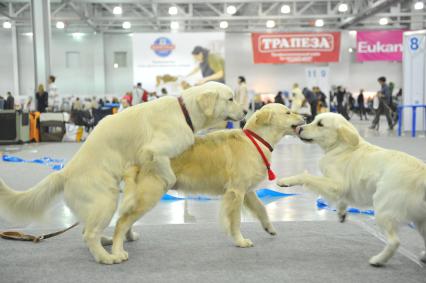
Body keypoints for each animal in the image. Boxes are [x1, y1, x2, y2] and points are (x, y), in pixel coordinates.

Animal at [0, 82, 245, 266]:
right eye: (230, 98)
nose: (244, 113)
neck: (184, 111)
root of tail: (65, 172)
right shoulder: (153, 151)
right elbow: (167, 172)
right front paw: (169, 181)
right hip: (105, 200)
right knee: (89, 234)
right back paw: (106, 257)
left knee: (88, 231)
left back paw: (107, 242)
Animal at [116, 104, 304, 251]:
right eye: (288, 112)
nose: (306, 117)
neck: (256, 140)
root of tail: (138, 158)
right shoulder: (236, 192)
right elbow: (235, 221)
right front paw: (240, 241)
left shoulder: (247, 190)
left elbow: (261, 209)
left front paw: (269, 228)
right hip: (151, 194)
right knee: (121, 222)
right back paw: (118, 251)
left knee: (125, 218)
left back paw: (130, 237)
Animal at [276, 113, 426, 268]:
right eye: (314, 120)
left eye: (320, 124)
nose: (299, 128)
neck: (341, 147)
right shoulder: (342, 188)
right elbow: (342, 200)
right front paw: (341, 213)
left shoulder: (337, 184)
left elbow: (306, 176)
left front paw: (285, 181)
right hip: (420, 221)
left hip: (383, 210)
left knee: (394, 242)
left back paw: (378, 260)